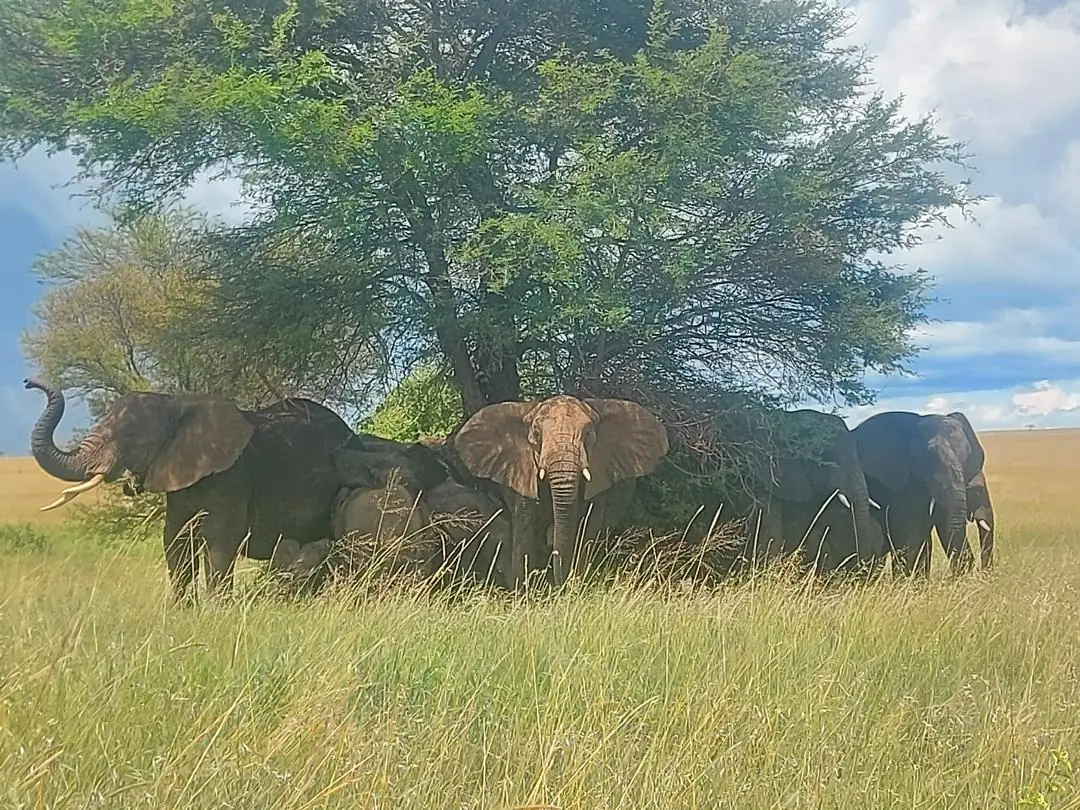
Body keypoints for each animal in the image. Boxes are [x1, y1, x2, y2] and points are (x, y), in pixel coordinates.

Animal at [24, 378, 355, 602]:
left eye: (133, 439)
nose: (29, 382)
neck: (175, 404)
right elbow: (175, 538)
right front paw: (179, 608)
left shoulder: (233, 477)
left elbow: (220, 539)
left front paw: (216, 610)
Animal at [452, 394, 670, 587]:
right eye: (537, 434)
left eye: (588, 433)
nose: (559, 586)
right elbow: (525, 531)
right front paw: (524, 593)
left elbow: (586, 531)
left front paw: (574, 587)